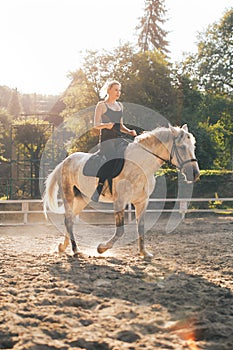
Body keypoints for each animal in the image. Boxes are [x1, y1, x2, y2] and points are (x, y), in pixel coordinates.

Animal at [42, 124, 199, 258]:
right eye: (182, 147)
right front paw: (101, 248)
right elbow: (120, 230)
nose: (195, 174)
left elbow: (141, 227)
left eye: (193, 147)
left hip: (82, 198)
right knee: (68, 220)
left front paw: (144, 252)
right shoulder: (120, 201)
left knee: (71, 219)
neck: (140, 166)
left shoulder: (142, 202)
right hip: (68, 195)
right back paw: (75, 250)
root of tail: (64, 162)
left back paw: (63, 247)